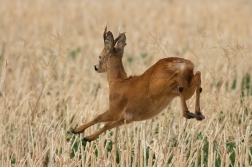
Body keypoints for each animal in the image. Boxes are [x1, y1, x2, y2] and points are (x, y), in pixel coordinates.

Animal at [71, 26, 205, 142]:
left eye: (100, 56)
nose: (95, 67)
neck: (117, 82)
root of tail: (184, 63)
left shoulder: (115, 109)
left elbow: (99, 118)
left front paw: (79, 132)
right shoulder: (129, 117)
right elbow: (108, 125)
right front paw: (85, 136)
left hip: (158, 88)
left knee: (180, 81)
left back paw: (188, 113)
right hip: (185, 89)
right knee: (197, 78)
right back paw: (198, 114)